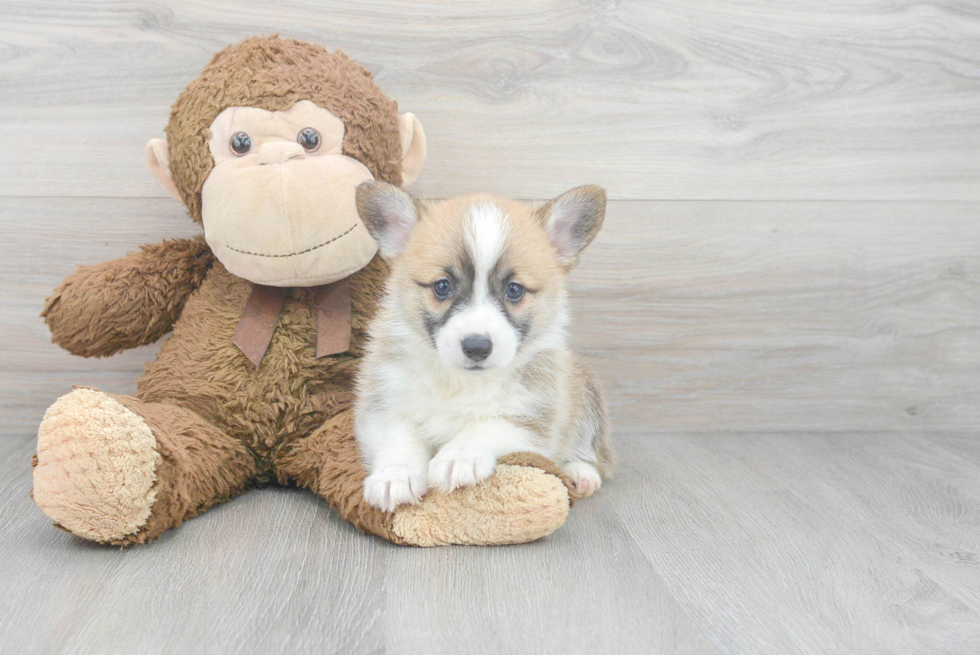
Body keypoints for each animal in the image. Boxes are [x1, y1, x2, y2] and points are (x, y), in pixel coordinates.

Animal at [352, 181, 612, 512]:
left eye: (514, 290)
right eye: (442, 286)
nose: (477, 347)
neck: (460, 382)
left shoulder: (533, 418)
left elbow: (486, 425)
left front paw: (458, 458)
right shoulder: (384, 403)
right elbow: (399, 437)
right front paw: (395, 476)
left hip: (588, 396)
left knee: (594, 452)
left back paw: (580, 473)